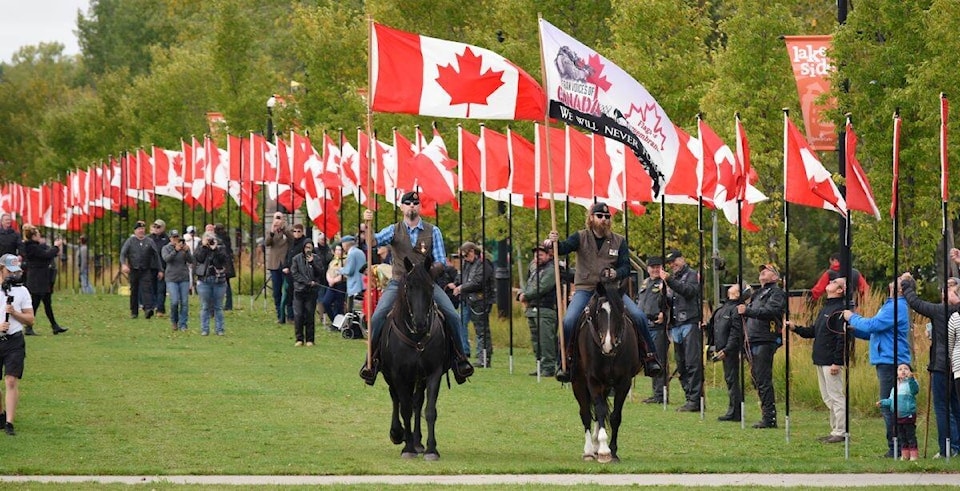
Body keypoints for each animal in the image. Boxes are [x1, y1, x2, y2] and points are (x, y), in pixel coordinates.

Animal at [376, 256, 448, 460]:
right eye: (408, 286)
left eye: (430, 286)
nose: (420, 322)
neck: (416, 338)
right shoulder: (398, 374)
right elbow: (405, 409)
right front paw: (407, 447)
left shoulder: (433, 373)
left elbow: (429, 410)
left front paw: (431, 449)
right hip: (391, 376)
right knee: (396, 398)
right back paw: (398, 433)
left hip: (418, 378)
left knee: (417, 402)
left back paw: (417, 441)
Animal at [572, 280, 640, 466]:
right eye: (599, 311)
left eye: (620, 311)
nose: (608, 344)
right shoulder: (593, 380)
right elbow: (601, 411)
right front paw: (603, 450)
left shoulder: (623, 382)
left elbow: (615, 415)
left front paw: (613, 451)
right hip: (578, 382)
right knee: (586, 413)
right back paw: (589, 451)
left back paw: (595, 447)